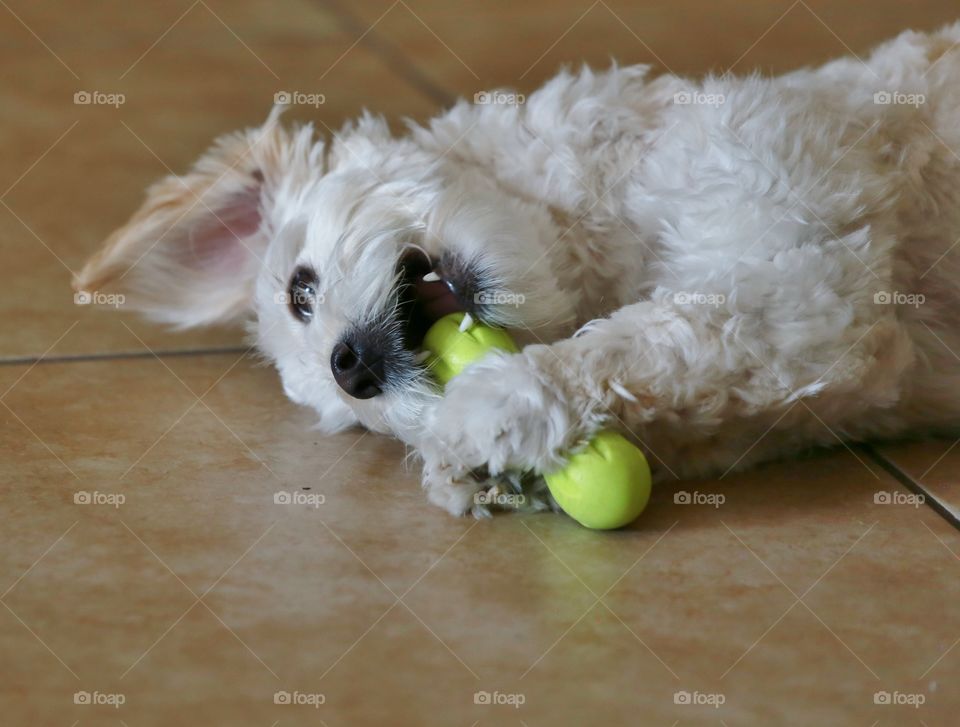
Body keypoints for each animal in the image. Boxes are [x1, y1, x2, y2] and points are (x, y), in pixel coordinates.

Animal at [77, 25, 960, 516]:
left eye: (301, 288)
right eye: (357, 411)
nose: (350, 364)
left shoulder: (808, 269)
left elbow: (651, 332)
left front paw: (495, 404)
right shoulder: (825, 357)